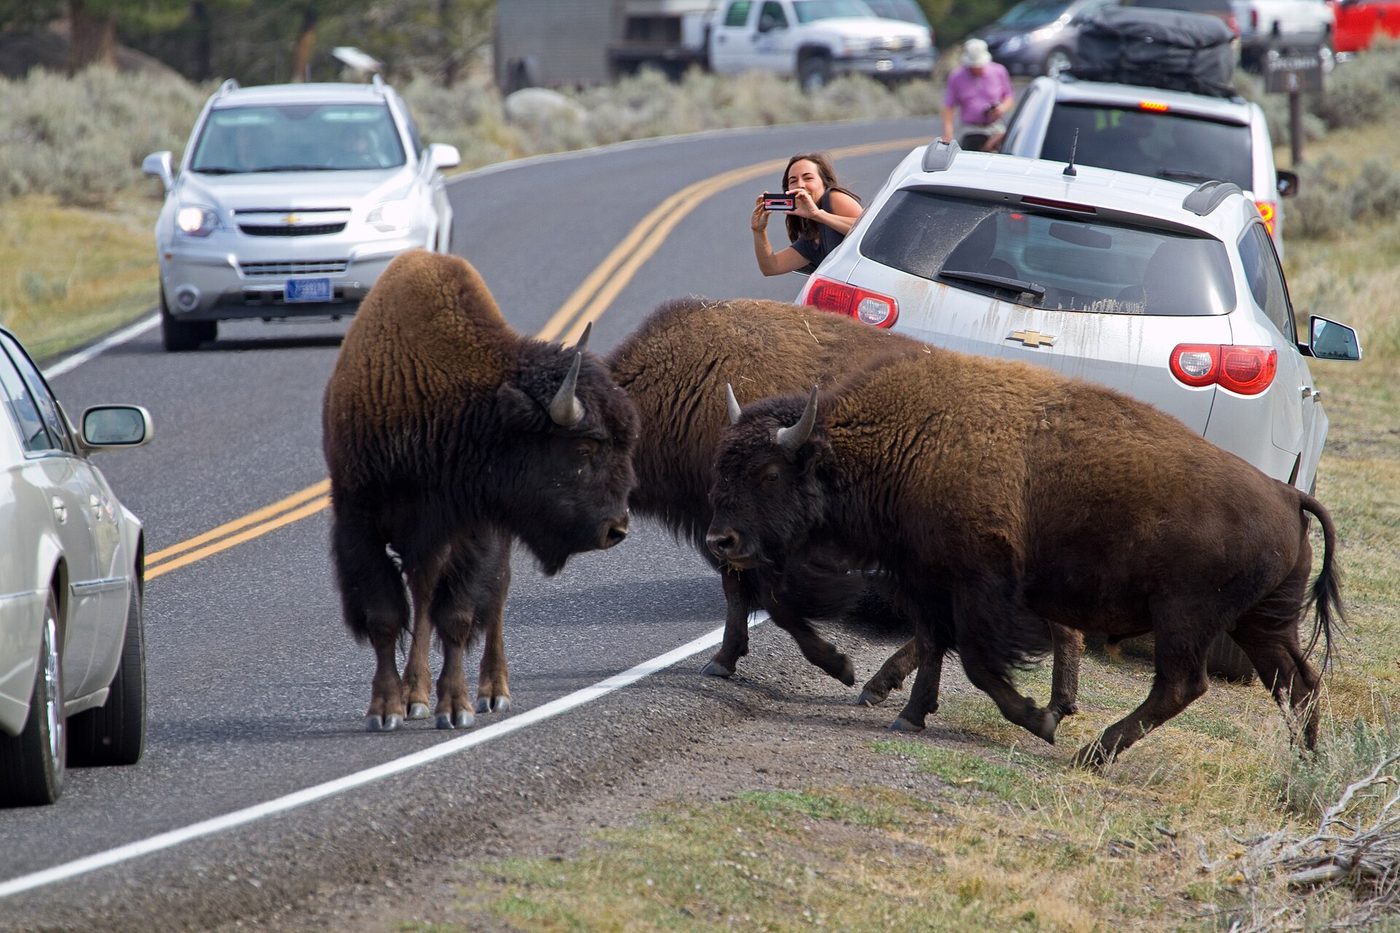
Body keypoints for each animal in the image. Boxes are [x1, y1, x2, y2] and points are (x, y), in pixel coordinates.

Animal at [322, 250, 639, 731]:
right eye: (585, 447)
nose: (616, 529)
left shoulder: (476, 529)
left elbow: (458, 615)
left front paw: (456, 708)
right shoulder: (360, 523)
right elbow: (384, 616)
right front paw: (387, 709)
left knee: (492, 599)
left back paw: (493, 691)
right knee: (424, 592)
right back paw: (415, 695)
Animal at [707, 348, 1342, 767]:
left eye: (769, 473)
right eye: (722, 465)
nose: (721, 541)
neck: (910, 439)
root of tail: (1286, 494)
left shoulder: (978, 587)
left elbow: (977, 662)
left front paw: (1039, 720)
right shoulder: (927, 583)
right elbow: (936, 647)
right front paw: (909, 713)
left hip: (1186, 619)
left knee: (1184, 685)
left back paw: (1092, 753)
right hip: (1263, 623)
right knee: (1297, 681)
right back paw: (1305, 763)